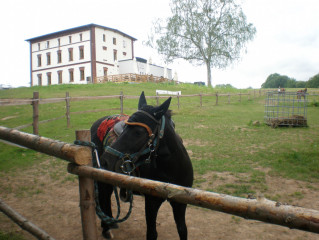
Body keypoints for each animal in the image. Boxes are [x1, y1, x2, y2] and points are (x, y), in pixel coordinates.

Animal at [90, 92, 195, 240]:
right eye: (124, 128)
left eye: (138, 132)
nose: (105, 161)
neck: (171, 170)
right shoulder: (151, 202)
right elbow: (151, 233)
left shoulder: (180, 203)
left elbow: (182, 230)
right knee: (103, 195)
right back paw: (106, 228)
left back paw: (110, 223)